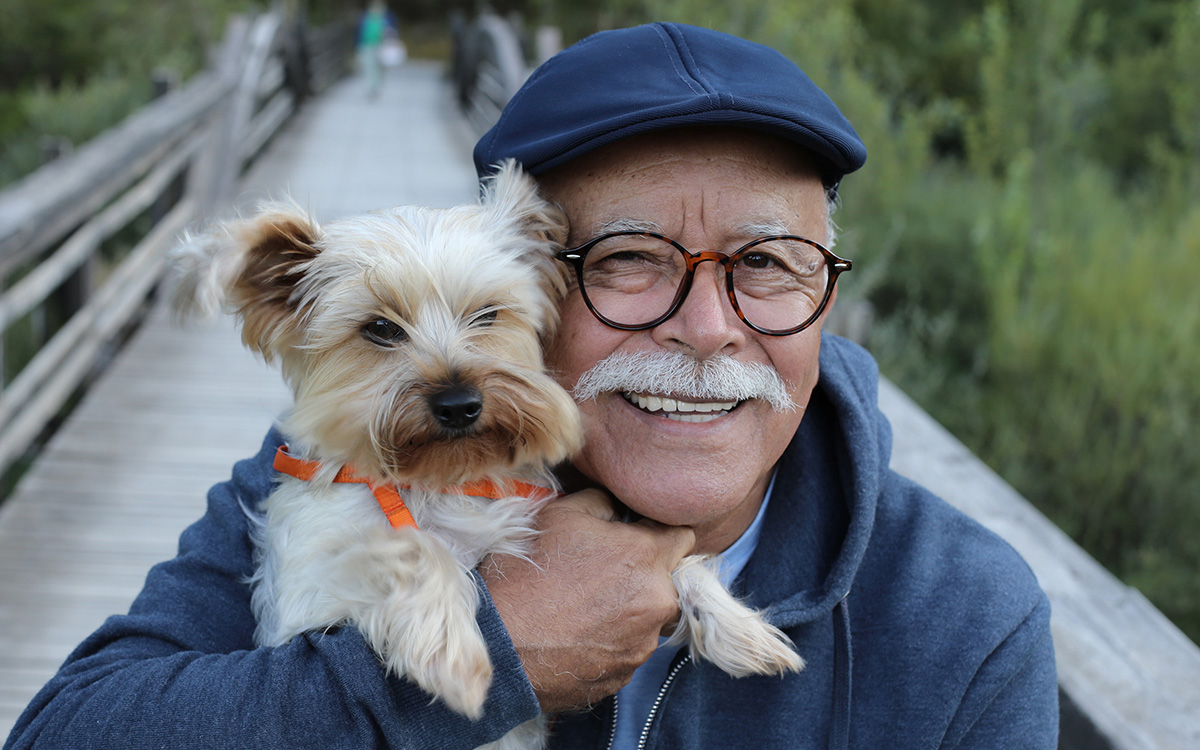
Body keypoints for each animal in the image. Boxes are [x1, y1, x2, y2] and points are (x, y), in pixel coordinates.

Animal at [169, 162, 801, 748]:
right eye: (379, 329)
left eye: (488, 313)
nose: (459, 404)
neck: (447, 480)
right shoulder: (310, 598)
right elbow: (411, 548)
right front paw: (455, 655)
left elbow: (682, 560)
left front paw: (741, 628)